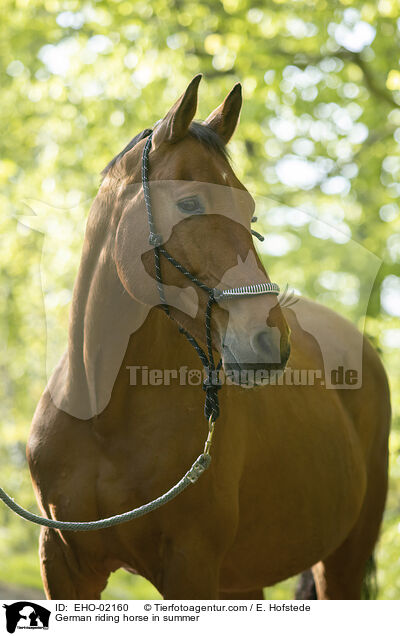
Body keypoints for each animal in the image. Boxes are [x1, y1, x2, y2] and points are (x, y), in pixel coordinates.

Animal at [23, 77, 390, 600]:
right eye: (189, 203)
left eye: (249, 210)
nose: (267, 340)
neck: (104, 414)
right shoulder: (63, 565)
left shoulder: (190, 566)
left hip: (342, 559)